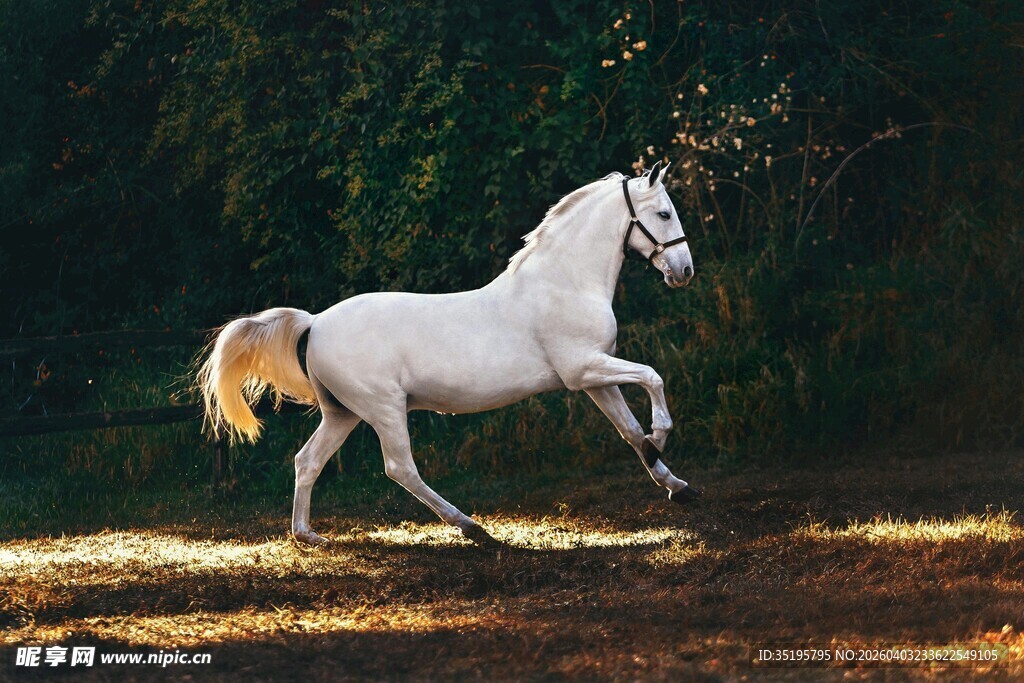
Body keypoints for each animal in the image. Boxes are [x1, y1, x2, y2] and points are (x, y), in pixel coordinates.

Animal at [197, 160, 700, 546]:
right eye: (663, 213)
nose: (684, 272)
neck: (565, 283)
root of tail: (316, 322)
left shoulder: (596, 378)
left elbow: (629, 431)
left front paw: (676, 484)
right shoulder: (584, 370)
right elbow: (652, 377)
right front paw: (661, 435)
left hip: (343, 412)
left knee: (308, 461)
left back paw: (308, 535)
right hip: (383, 408)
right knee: (400, 467)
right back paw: (471, 527)